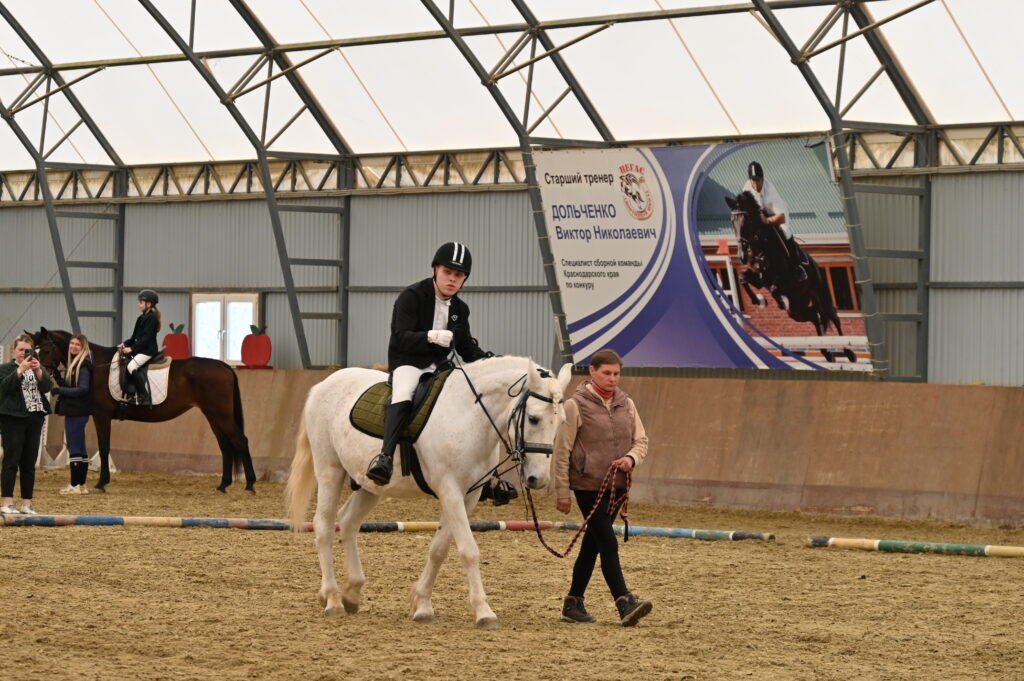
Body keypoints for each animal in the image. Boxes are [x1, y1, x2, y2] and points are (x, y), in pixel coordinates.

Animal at [31, 328, 257, 493]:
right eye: (33, 351)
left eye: (46, 350)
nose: (39, 373)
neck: (95, 366)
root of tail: (224, 367)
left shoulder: (102, 415)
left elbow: (104, 447)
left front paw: (102, 483)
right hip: (212, 415)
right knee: (225, 445)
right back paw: (223, 484)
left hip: (221, 415)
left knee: (240, 441)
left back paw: (250, 484)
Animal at [286, 356, 571, 629]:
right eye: (533, 418)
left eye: (562, 422)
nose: (538, 479)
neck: (468, 416)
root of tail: (325, 383)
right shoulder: (450, 490)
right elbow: (469, 550)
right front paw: (483, 612)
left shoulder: (468, 495)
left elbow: (439, 549)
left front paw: (422, 605)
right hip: (329, 470)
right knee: (324, 525)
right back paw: (332, 599)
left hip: (371, 485)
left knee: (347, 521)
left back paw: (352, 593)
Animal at [724, 191, 856, 364]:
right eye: (732, 222)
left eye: (747, 221)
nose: (742, 256)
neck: (761, 247)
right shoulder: (760, 280)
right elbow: (743, 278)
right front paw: (758, 300)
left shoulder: (786, 280)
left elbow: (774, 287)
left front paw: (778, 301)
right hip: (796, 309)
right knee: (815, 316)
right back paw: (827, 353)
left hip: (820, 295)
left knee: (832, 315)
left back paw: (849, 353)